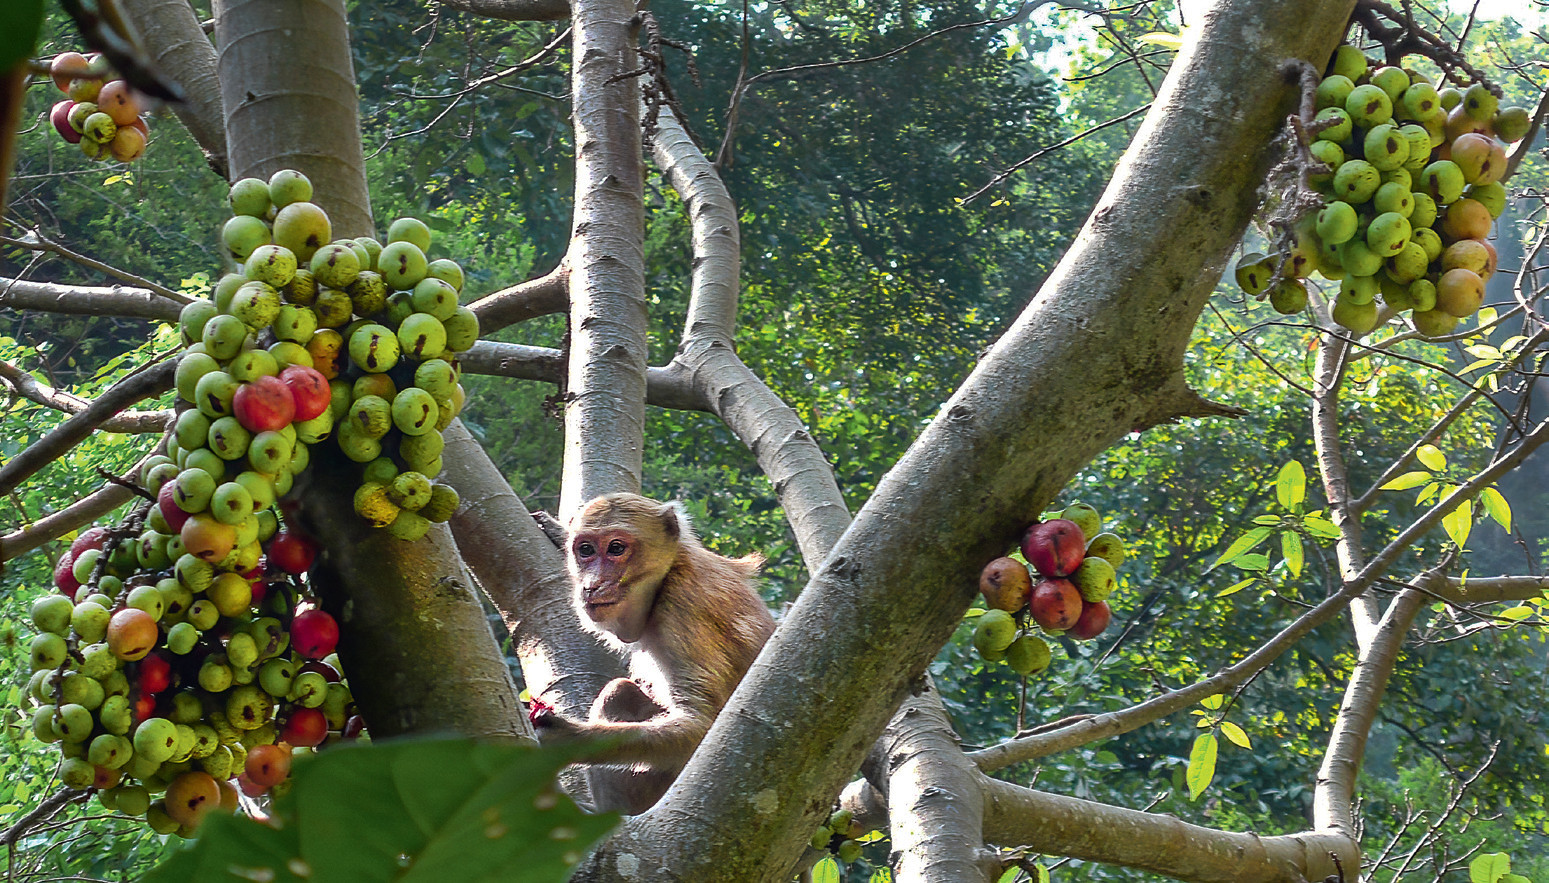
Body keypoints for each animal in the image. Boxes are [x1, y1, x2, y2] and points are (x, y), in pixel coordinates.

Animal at [531, 493, 776, 813]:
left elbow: (702, 727)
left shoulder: (682, 610)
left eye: (616, 548)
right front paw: (557, 530)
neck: (669, 572)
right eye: (585, 550)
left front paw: (573, 740)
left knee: (616, 691)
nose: (592, 585)